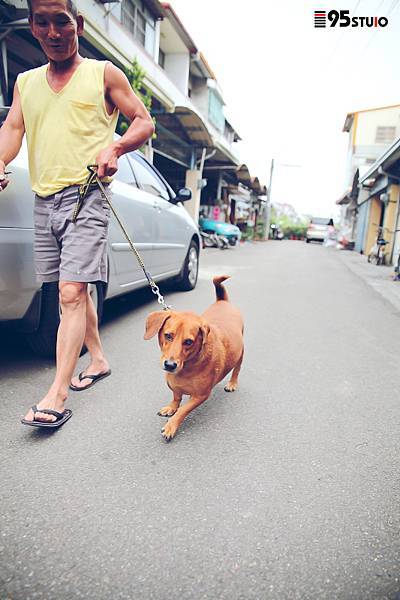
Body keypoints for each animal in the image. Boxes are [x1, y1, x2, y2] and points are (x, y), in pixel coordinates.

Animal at [144, 276, 244, 440]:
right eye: (168, 335)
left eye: (188, 342)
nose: (170, 365)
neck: (188, 366)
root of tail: (223, 301)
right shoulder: (175, 387)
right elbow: (176, 398)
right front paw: (171, 407)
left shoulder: (200, 395)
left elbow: (183, 410)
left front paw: (172, 425)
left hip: (241, 352)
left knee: (237, 369)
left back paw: (232, 383)